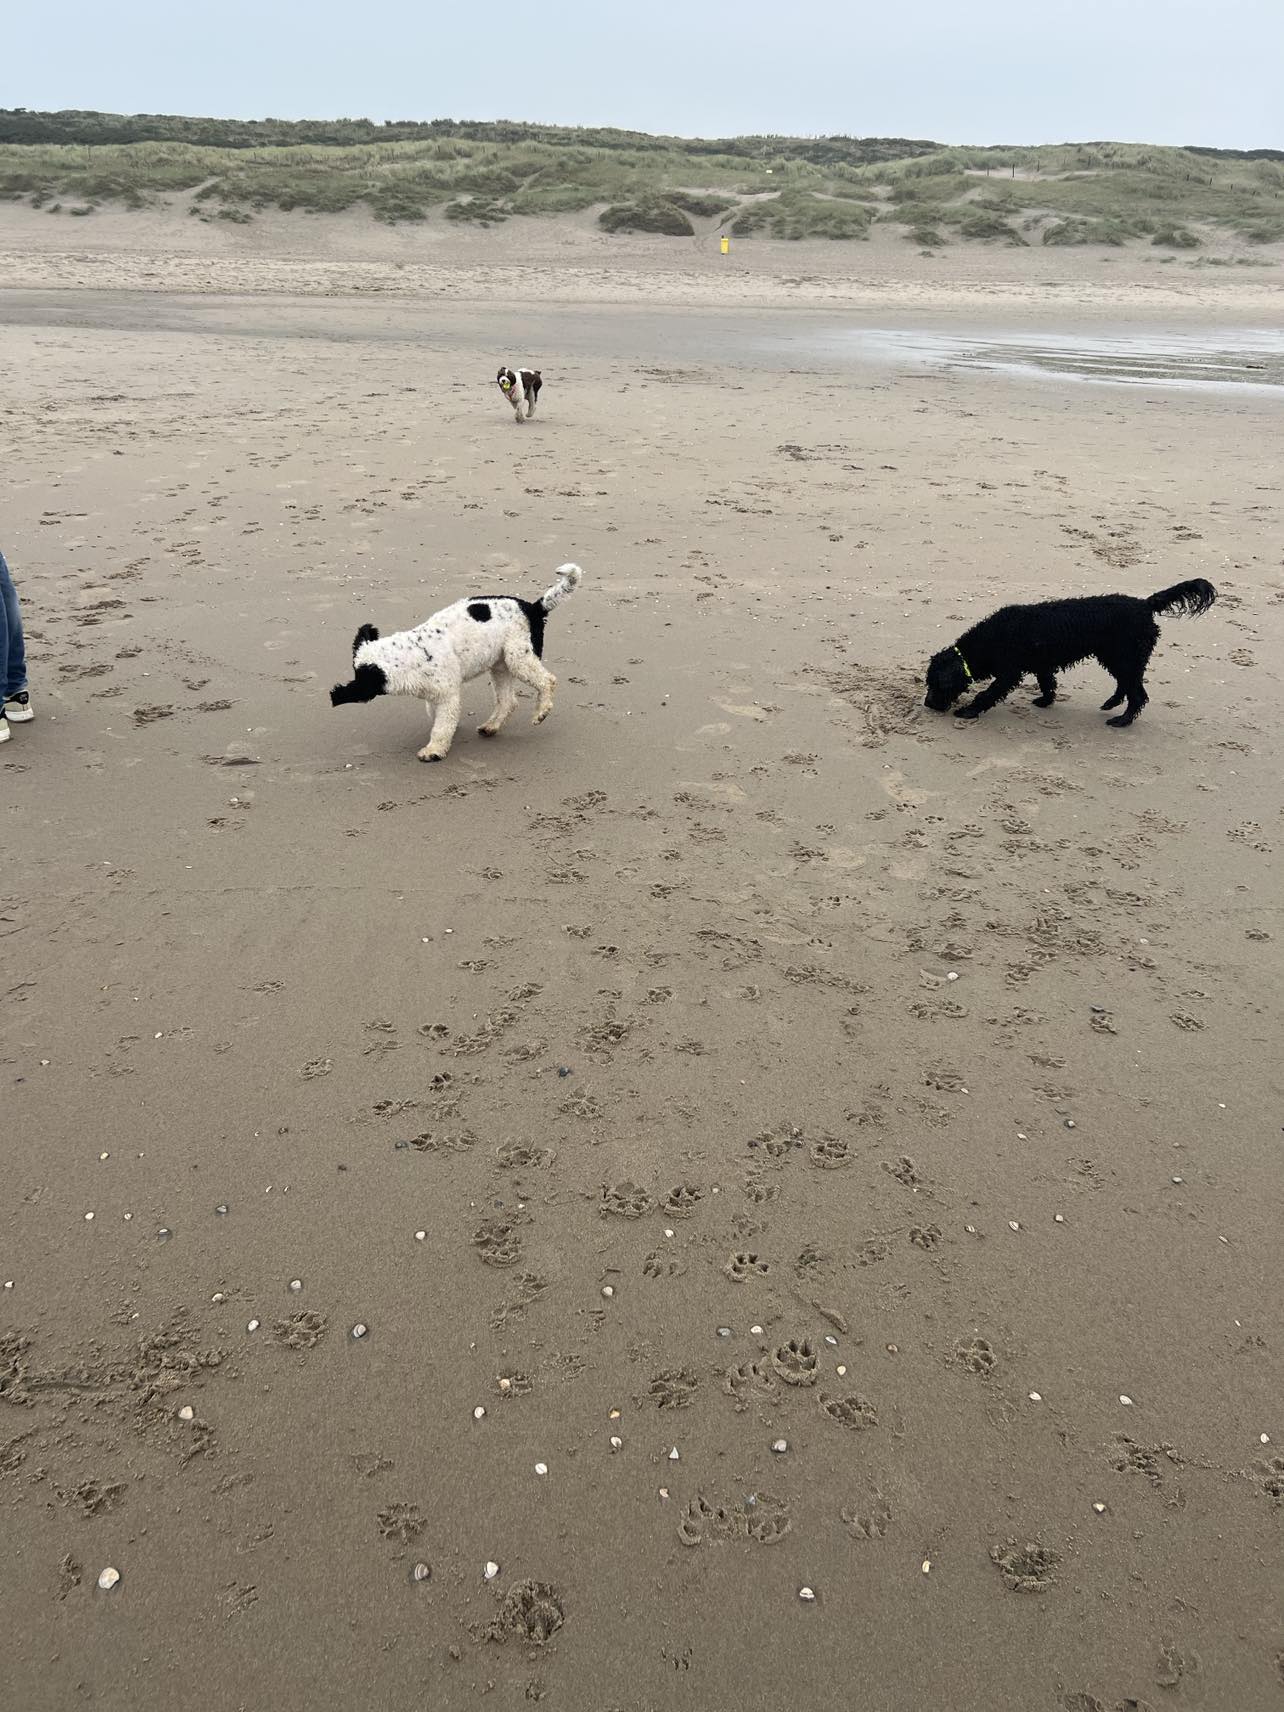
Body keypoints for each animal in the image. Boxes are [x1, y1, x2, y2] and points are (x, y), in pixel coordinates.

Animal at [332, 561, 582, 763]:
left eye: (358, 676)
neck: (413, 655)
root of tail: (532, 607)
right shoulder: (436, 696)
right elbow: (438, 717)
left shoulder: (447, 695)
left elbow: (441, 726)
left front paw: (433, 750)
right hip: (500, 665)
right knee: (508, 701)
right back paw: (491, 726)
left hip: (518, 658)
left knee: (547, 680)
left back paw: (541, 712)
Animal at [924, 582, 1218, 729]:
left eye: (936, 685)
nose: (928, 705)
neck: (990, 639)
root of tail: (1144, 605)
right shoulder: (1041, 664)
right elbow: (1048, 684)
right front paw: (1045, 701)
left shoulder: (1009, 672)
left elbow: (987, 694)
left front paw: (968, 711)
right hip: (1117, 658)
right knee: (1126, 685)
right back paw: (1111, 704)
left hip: (1125, 658)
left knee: (1138, 694)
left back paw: (1121, 721)